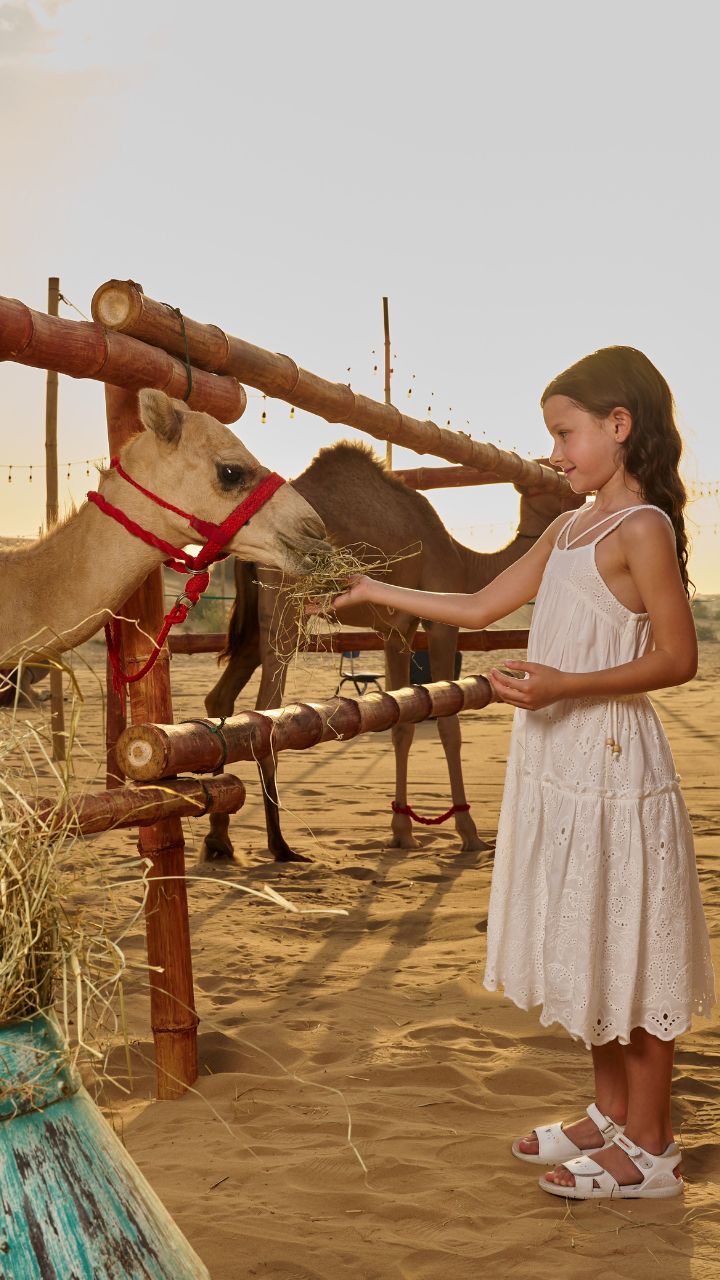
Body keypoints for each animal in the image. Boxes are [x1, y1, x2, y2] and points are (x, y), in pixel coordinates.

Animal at [204, 441, 581, 862]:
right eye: (549, 482)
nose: (577, 492)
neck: (466, 563)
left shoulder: (396, 631)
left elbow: (402, 721)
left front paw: (402, 830)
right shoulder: (440, 624)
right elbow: (449, 722)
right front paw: (468, 833)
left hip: (255, 621)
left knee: (221, 699)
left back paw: (219, 839)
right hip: (286, 607)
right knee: (267, 710)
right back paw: (281, 845)